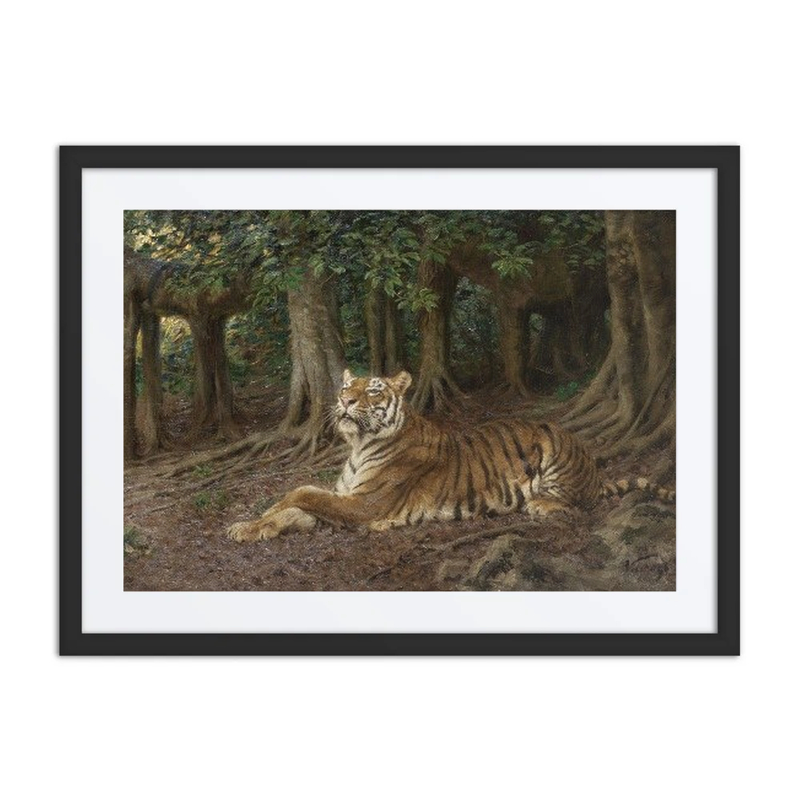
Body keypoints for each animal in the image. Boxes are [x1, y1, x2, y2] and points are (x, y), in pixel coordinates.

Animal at [226, 369, 674, 542]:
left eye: (373, 390)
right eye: (346, 387)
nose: (344, 400)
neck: (359, 445)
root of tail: (593, 465)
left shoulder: (365, 504)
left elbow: (301, 492)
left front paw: (257, 519)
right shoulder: (343, 497)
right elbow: (295, 506)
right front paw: (249, 527)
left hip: (552, 446)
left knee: (578, 502)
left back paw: (541, 504)